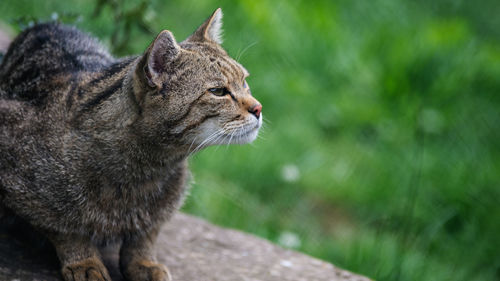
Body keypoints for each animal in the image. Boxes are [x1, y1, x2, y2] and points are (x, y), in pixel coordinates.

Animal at [0, 8, 260, 280]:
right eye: (218, 91)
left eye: (244, 81)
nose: (258, 108)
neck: (144, 171)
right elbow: (63, 228)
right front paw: (84, 262)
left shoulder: (167, 198)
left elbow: (146, 234)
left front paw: (143, 262)